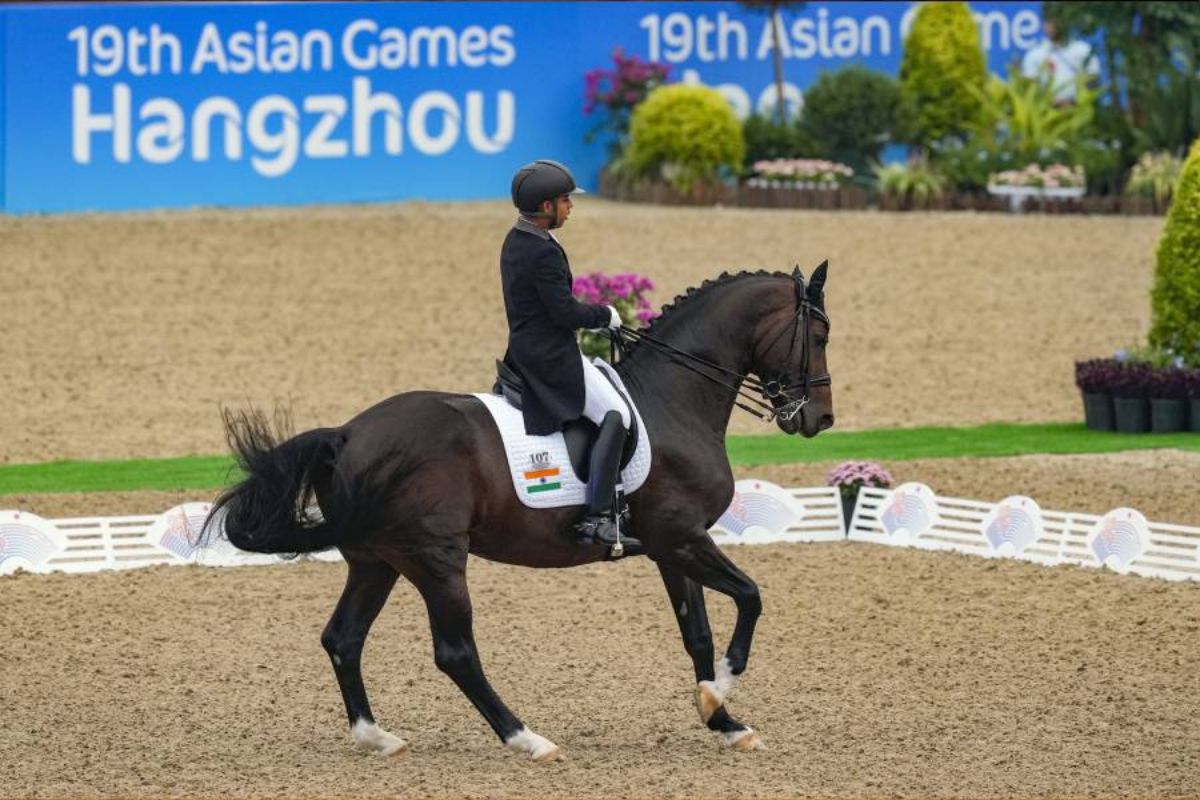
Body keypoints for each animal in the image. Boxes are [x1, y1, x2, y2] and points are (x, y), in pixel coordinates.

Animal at [204, 263, 835, 762]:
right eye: (820, 334)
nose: (819, 419)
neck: (672, 401)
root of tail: (347, 435)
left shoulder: (671, 546)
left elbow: (697, 633)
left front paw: (722, 719)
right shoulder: (681, 537)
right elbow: (751, 597)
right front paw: (724, 688)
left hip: (376, 561)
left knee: (343, 638)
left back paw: (377, 737)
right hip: (436, 559)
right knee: (455, 653)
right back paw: (528, 739)